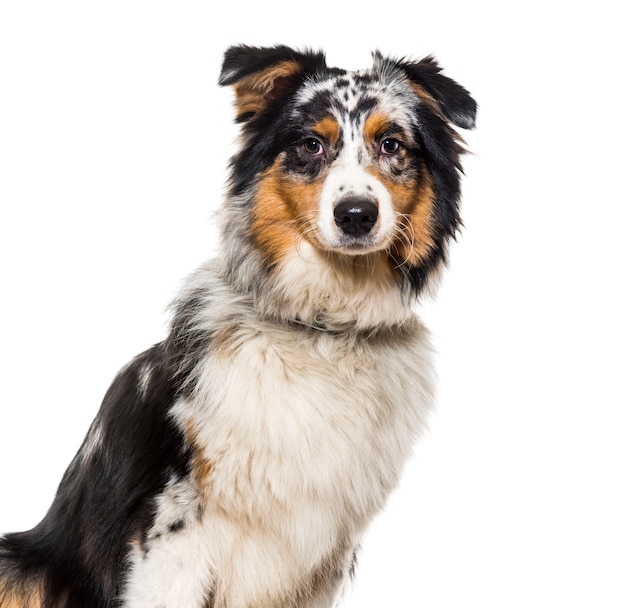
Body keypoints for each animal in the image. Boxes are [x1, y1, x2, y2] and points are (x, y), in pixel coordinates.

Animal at [0, 45, 472, 604]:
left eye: (392, 144)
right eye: (311, 144)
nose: (356, 214)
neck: (321, 328)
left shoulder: (324, 554)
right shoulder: (174, 527)